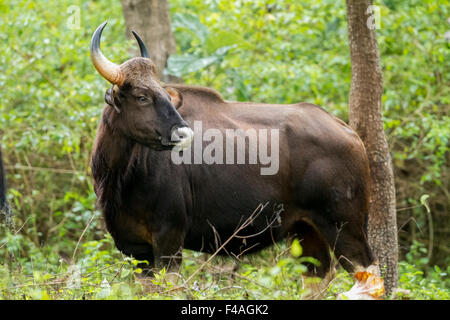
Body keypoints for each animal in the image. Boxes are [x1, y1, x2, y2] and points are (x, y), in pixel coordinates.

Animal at [89, 22, 382, 298]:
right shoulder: (137, 250)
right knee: (317, 275)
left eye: (164, 95)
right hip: (306, 229)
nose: (183, 133)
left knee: (370, 276)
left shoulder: (169, 238)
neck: (124, 177)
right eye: (142, 97)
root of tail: (349, 132)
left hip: (345, 224)